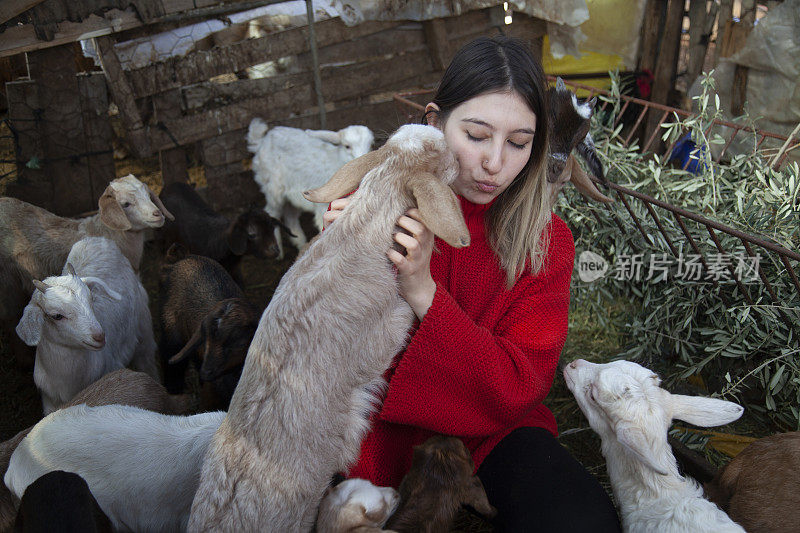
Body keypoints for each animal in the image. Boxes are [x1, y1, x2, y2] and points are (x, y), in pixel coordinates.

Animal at [247, 118, 376, 258]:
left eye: (370, 144)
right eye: (347, 146)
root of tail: (262, 141)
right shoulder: (323, 207)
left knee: (290, 216)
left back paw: (300, 244)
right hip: (272, 187)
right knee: (271, 212)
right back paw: (279, 252)